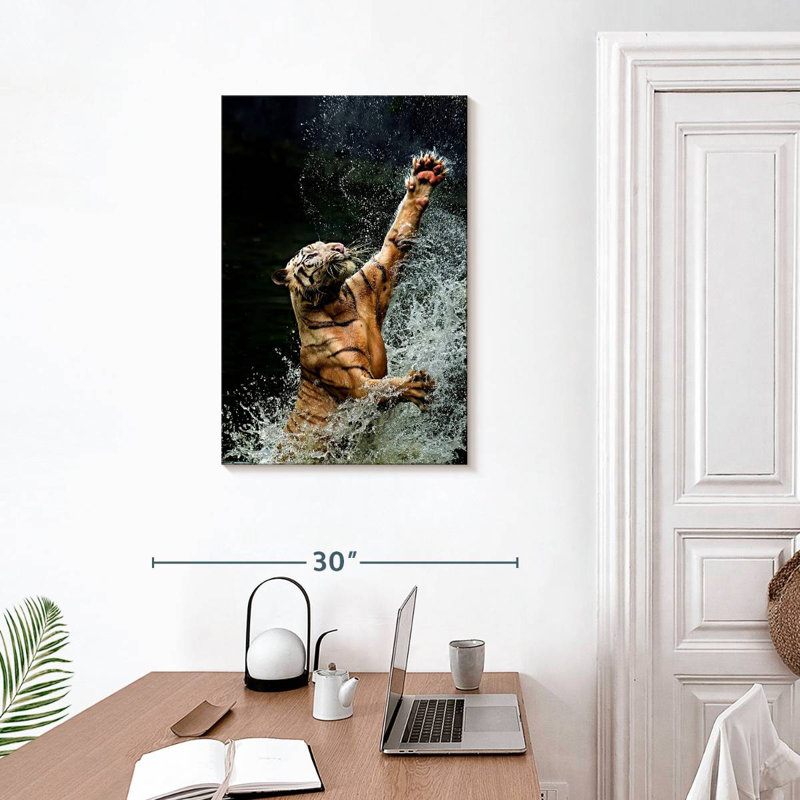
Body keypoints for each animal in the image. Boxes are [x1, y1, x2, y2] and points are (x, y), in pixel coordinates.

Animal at [271, 153, 447, 438]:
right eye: (311, 255)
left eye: (325, 244)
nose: (339, 247)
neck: (335, 301)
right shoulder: (355, 382)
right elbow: (382, 387)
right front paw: (415, 385)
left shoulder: (374, 277)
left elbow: (396, 237)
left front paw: (424, 176)